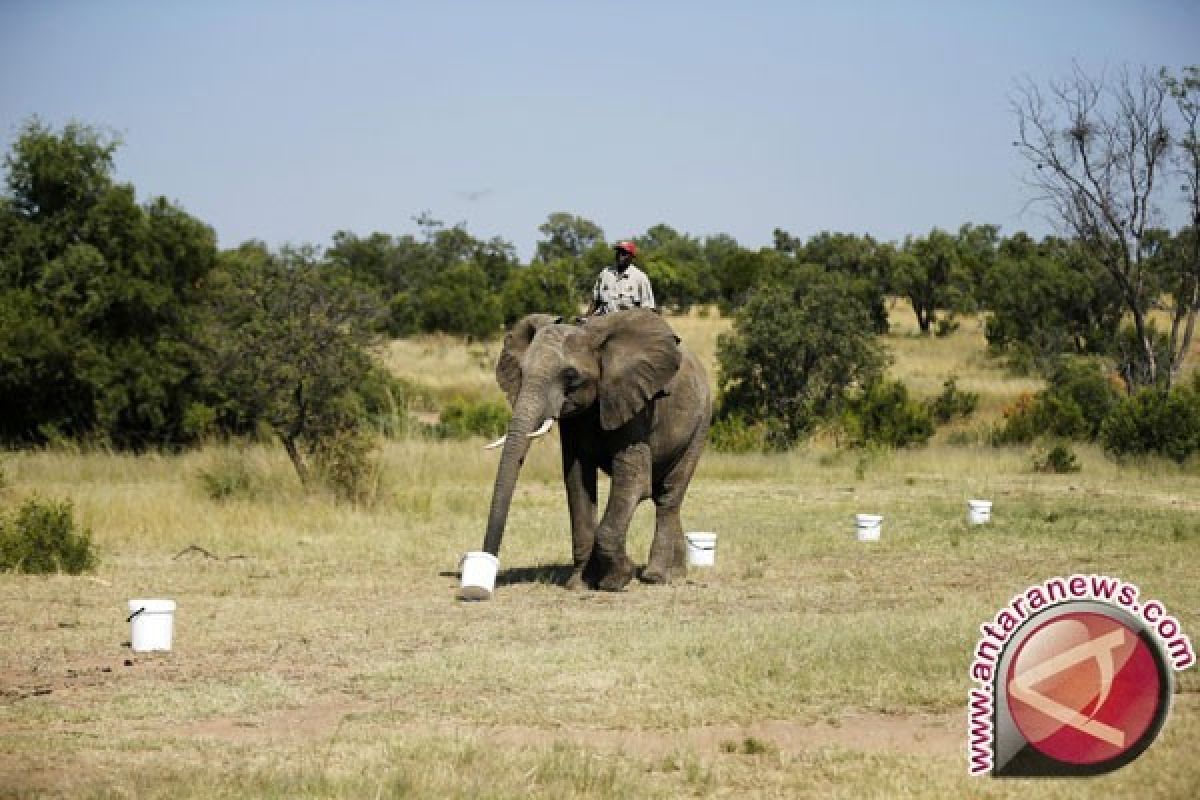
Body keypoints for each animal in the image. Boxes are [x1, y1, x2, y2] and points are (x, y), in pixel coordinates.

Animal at [475, 309, 710, 592]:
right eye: (521, 372)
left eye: (570, 376)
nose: (486, 567)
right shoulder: (574, 420)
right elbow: (577, 480)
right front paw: (579, 584)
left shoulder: (635, 406)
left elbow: (634, 482)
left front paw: (616, 579)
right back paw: (672, 574)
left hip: (701, 422)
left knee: (669, 494)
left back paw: (657, 577)